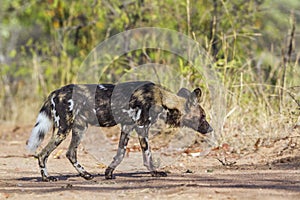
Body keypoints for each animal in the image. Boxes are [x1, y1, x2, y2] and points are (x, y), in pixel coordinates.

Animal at [27, 81, 212, 181]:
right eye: (203, 116)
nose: (210, 128)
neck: (162, 99)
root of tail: (54, 92)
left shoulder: (127, 127)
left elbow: (120, 153)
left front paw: (108, 173)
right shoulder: (142, 127)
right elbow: (148, 155)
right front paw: (155, 172)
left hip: (78, 129)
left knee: (70, 153)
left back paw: (86, 175)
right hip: (63, 130)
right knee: (42, 154)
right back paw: (47, 178)